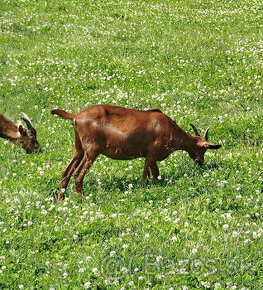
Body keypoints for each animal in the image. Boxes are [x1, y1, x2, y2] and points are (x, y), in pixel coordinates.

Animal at [52, 104, 223, 202]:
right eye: (203, 149)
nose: (200, 163)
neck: (170, 129)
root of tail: (76, 116)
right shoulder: (151, 154)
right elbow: (145, 176)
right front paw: (142, 192)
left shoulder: (151, 158)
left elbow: (155, 174)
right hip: (92, 150)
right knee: (77, 174)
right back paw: (81, 200)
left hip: (79, 148)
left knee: (66, 171)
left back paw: (60, 201)